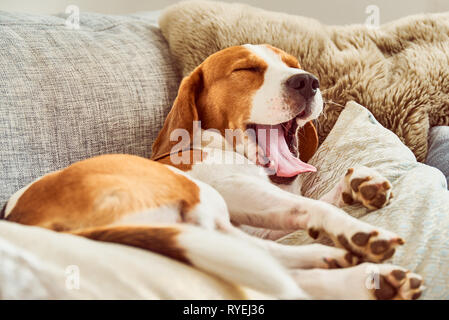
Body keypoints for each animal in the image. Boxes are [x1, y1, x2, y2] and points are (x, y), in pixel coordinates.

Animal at [2, 43, 424, 298]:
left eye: (293, 66)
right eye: (247, 69)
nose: (307, 81)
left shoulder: (257, 218)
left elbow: (312, 205)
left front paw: (358, 185)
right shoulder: (237, 189)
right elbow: (314, 207)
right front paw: (355, 228)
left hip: (216, 227)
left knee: (273, 262)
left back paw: (356, 273)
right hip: (201, 200)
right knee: (274, 268)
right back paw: (358, 265)